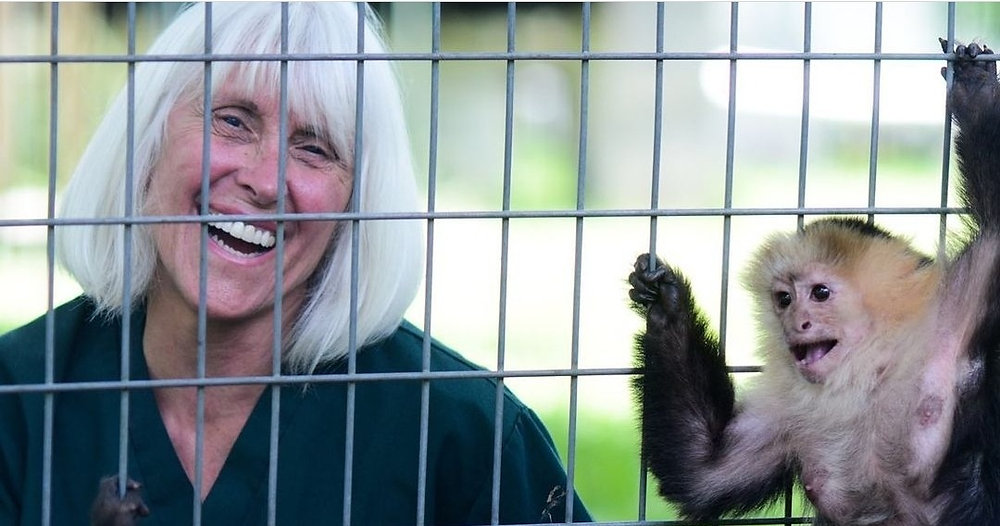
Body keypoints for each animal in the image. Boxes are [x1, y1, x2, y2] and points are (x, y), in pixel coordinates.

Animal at [628, 40, 1000, 525]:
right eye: (784, 299)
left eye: (820, 294)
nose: (796, 324)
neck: (869, 373)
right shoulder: (789, 409)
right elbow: (704, 471)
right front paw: (664, 305)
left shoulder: (959, 307)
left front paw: (976, 93)